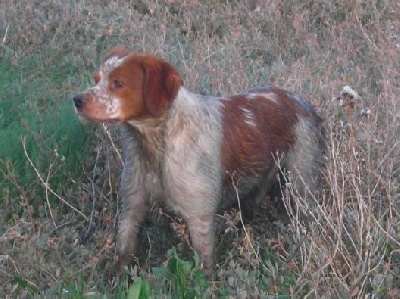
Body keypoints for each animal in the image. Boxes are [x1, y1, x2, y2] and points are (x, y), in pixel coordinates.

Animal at [73, 47, 324, 276]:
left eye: (118, 83)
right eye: (97, 79)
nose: (77, 100)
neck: (156, 145)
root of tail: (304, 102)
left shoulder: (199, 218)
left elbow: (203, 267)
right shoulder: (132, 205)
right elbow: (124, 247)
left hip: (302, 181)